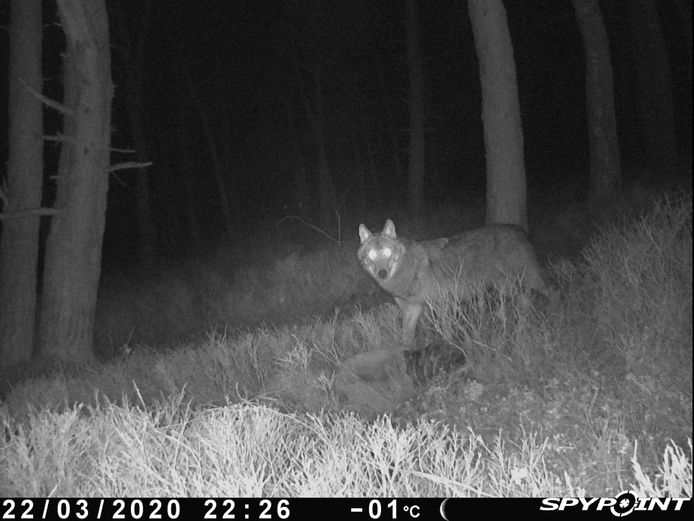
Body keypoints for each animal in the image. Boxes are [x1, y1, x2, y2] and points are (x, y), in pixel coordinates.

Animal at [358, 219, 556, 350]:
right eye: (372, 255)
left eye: (387, 252)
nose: (382, 273)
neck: (409, 273)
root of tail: (516, 228)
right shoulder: (411, 309)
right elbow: (406, 337)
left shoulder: (441, 304)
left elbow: (446, 332)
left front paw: (450, 348)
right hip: (506, 287)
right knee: (524, 302)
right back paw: (521, 327)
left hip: (527, 280)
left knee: (550, 292)